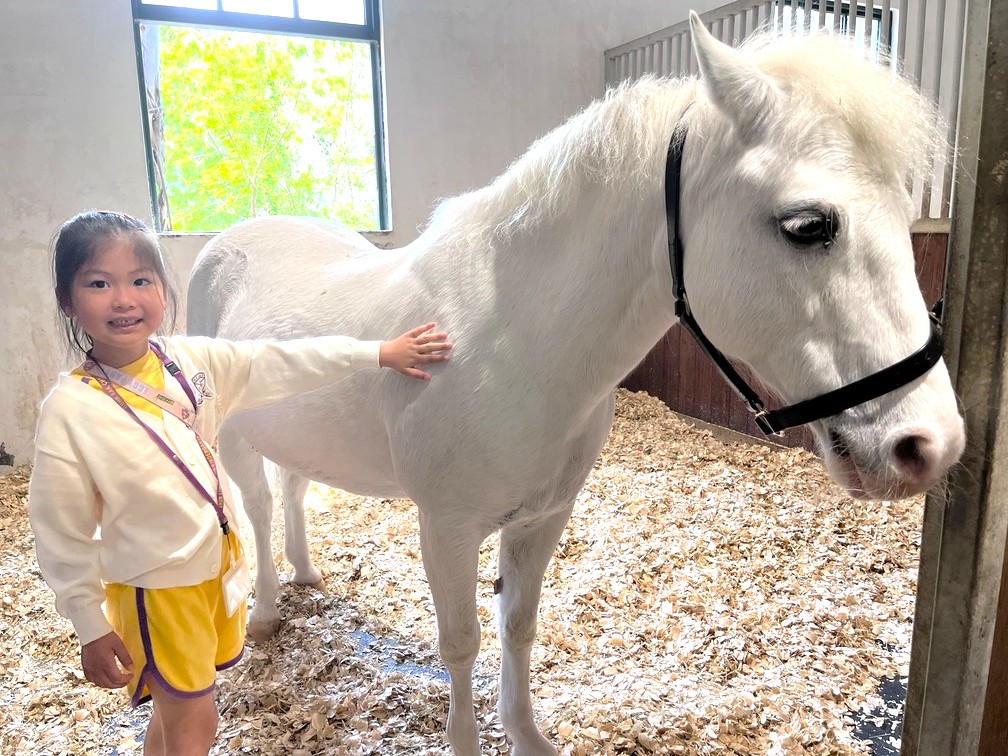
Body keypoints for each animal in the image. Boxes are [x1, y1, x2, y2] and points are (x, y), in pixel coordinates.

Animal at [186, 14, 965, 755]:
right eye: (807, 225)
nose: (929, 445)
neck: (515, 337)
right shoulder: (445, 527)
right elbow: (461, 643)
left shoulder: (543, 518)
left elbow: (518, 625)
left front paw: (528, 737)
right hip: (232, 438)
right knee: (258, 510)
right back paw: (265, 613)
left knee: (292, 490)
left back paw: (307, 575)